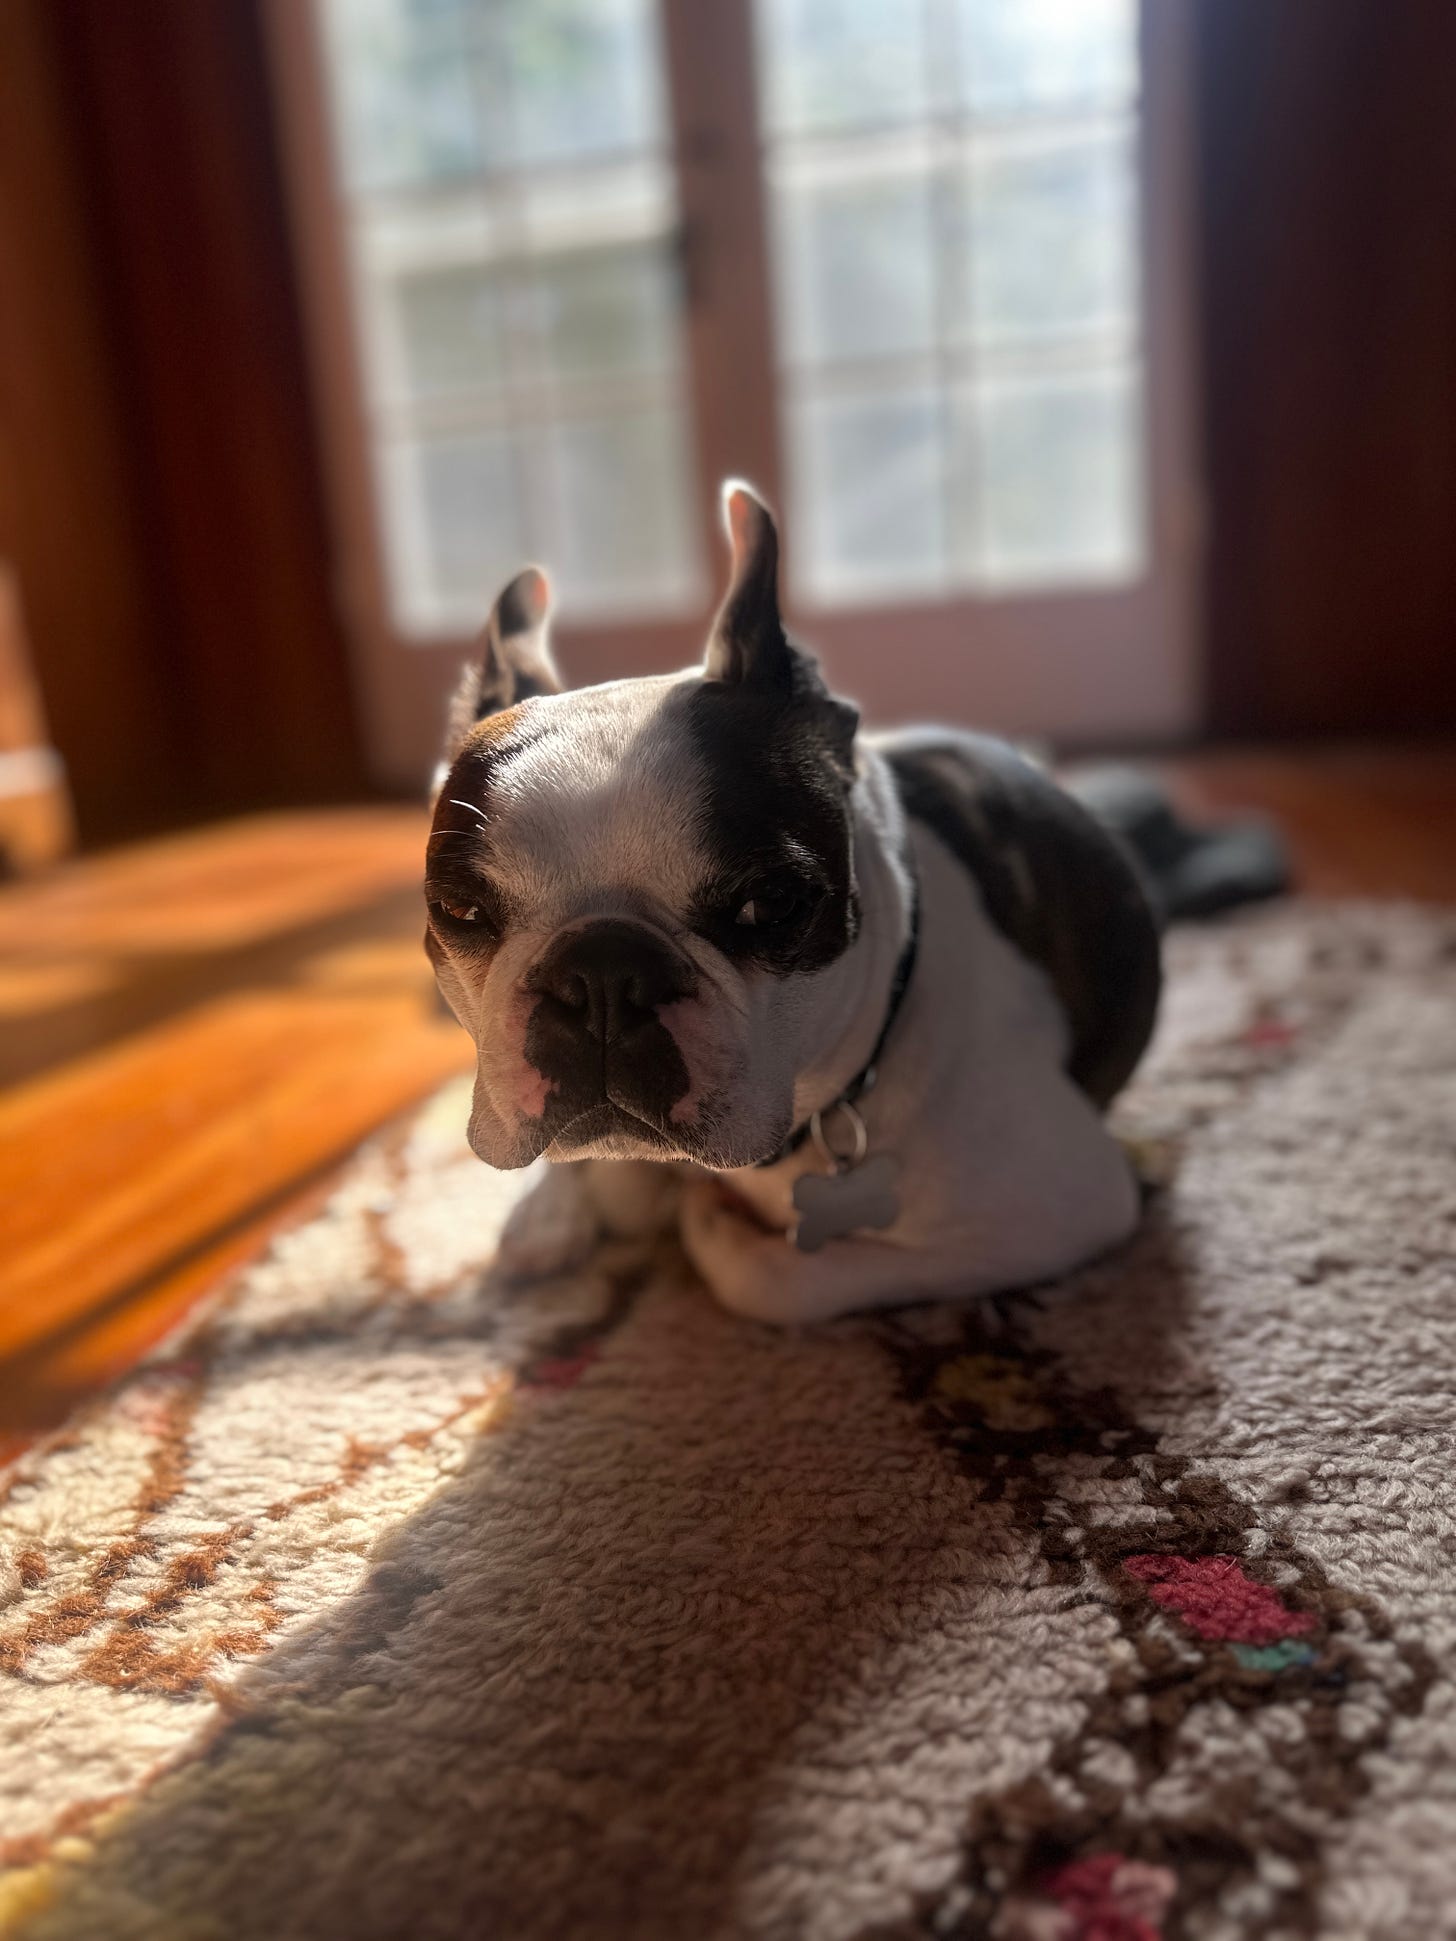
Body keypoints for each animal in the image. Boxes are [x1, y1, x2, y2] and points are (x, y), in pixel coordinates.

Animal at [425, 479, 1164, 1327]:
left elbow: (785, 1280)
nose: (601, 974)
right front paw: (566, 1206)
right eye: (460, 910)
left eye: (771, 902)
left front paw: (709, 1224)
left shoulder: (1054, 1209)